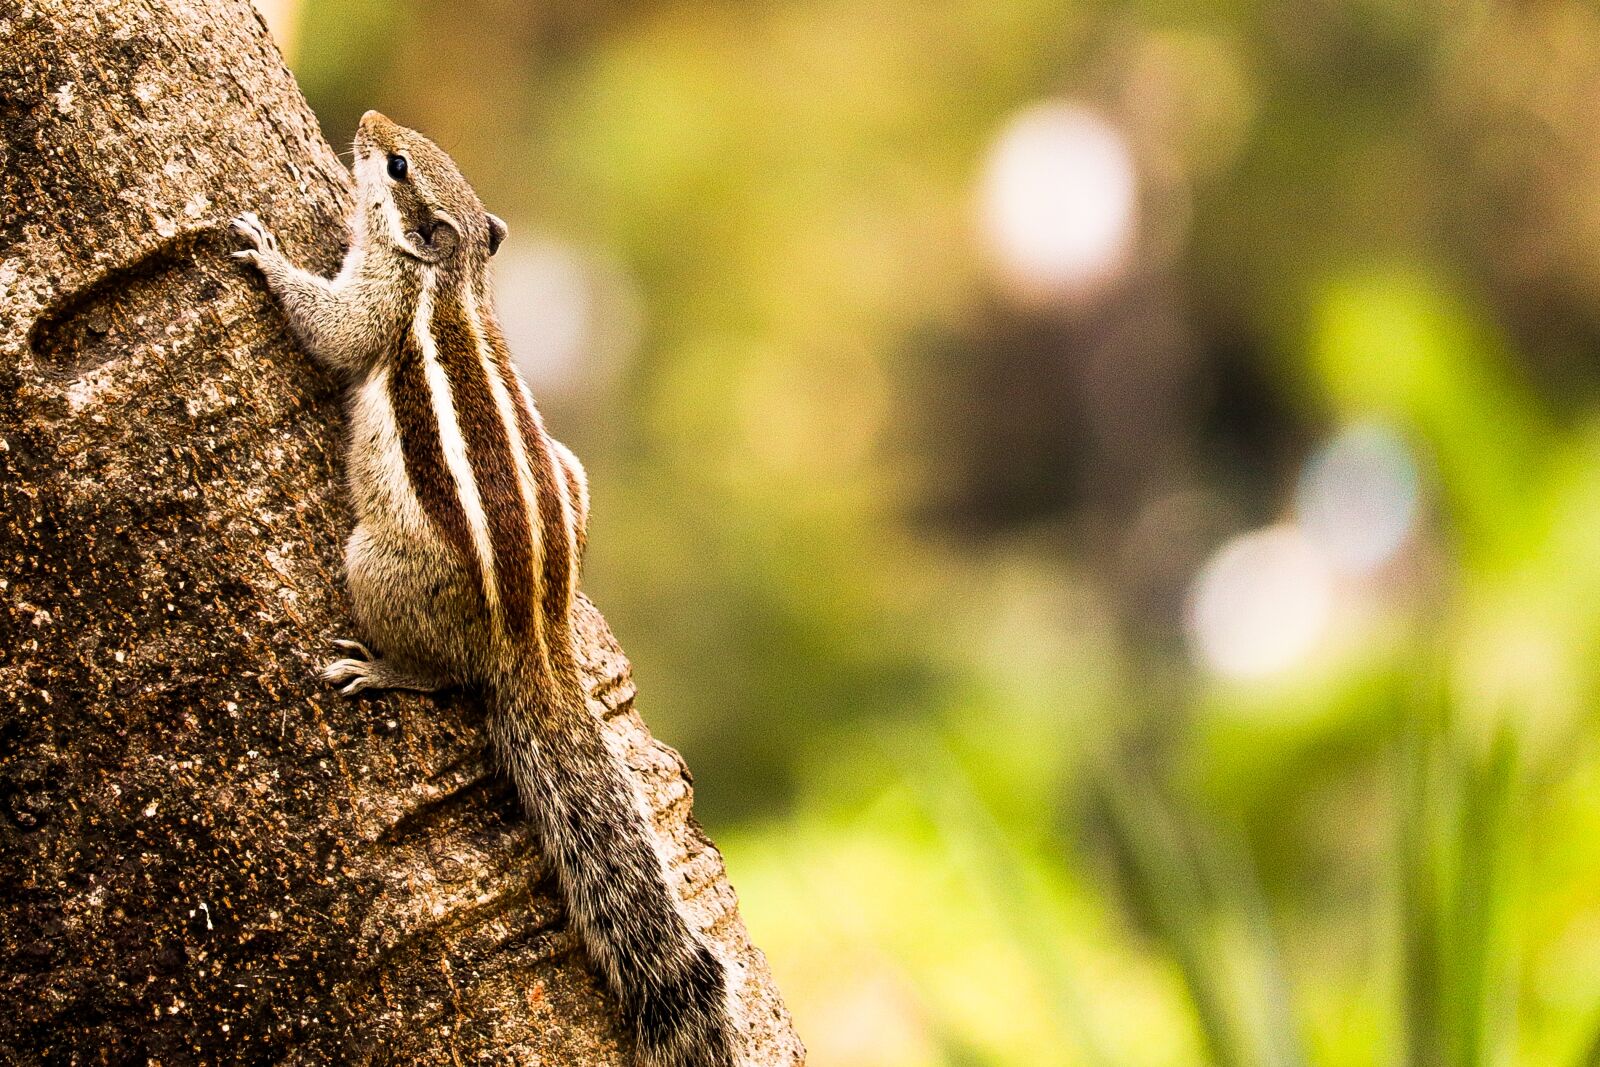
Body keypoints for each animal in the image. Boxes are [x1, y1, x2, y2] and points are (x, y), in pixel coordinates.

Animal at [231, 111, 736, 1067]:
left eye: (396, 164)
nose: (368, 122)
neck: (455, 273)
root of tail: (535, 630)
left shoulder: (377, 302)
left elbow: (332, 330)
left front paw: (267, 253)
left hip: (375, 562)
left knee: (439, 673)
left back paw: (383, 669)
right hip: (570, 481)